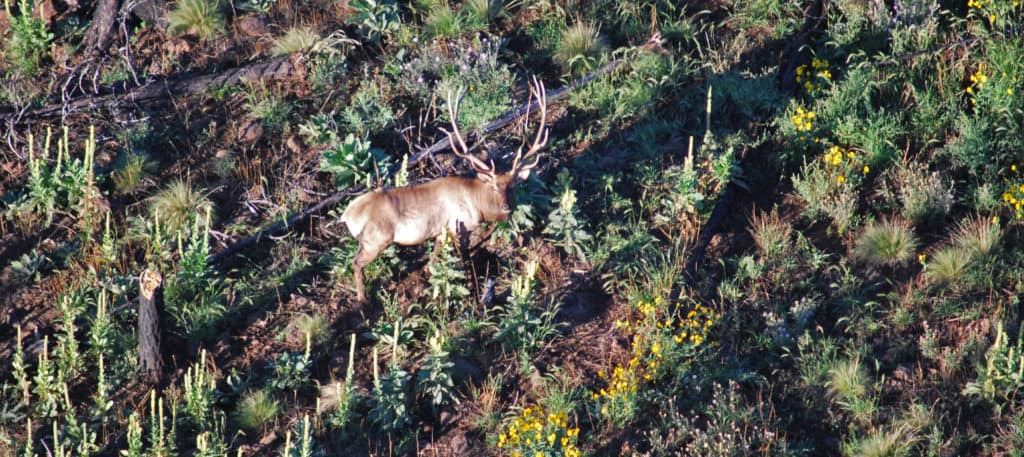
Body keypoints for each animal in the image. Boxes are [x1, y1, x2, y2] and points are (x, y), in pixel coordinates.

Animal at [339, 75, 548, 303]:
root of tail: (347, 216)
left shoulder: (440, 231)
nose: (506, 207)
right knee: (356, 263)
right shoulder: (459, 226)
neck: (478, 204)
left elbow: (433, 261)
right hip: (375, 239)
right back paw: (362, 301)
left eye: (512, 186)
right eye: (493, 186)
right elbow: (463, 261)